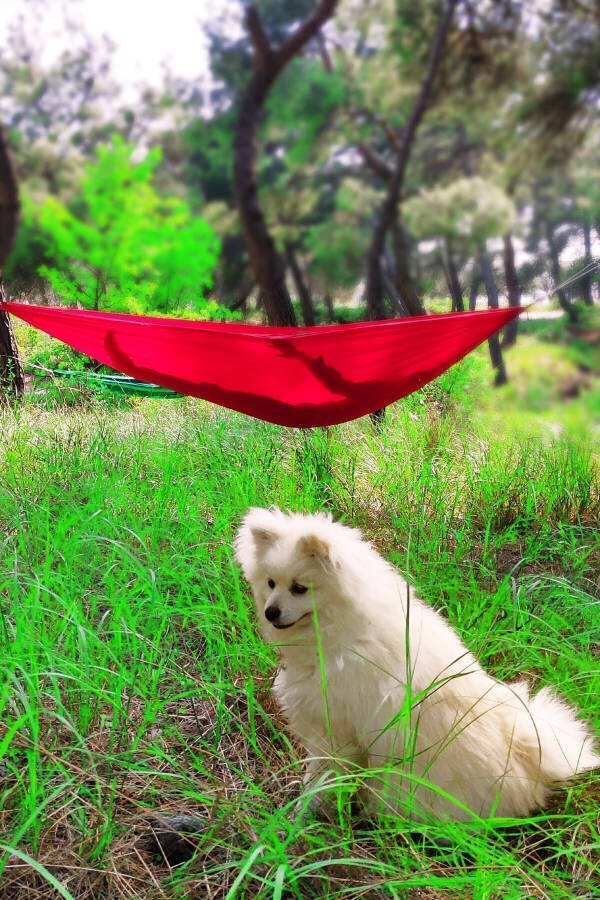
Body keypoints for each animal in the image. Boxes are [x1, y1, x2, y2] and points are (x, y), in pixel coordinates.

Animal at [233, 506, 596, 824]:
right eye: (270, 583)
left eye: (299, 588)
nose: (271, 612)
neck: (347, 631)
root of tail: (529, 761)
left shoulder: (335, 730)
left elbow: (320, 779)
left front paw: (300, 814)